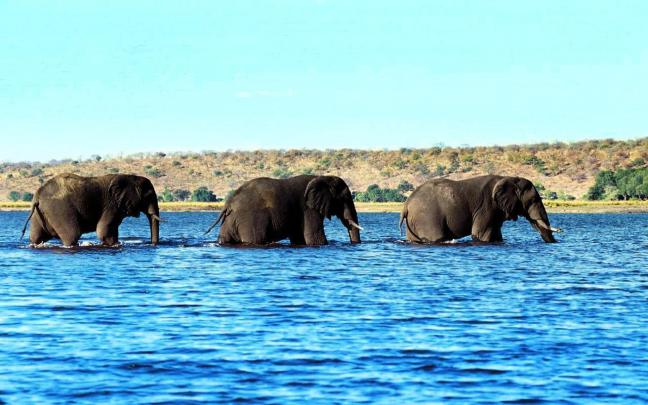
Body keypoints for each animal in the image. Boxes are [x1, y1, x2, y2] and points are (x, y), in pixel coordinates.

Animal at [21, 173, 161, 246]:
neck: (131, 177)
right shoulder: (112, 206)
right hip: (59, 210)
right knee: (72, 235)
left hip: (40, 213)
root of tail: (38, 194)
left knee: (36, 237)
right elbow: (103, 231)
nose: (153, 244)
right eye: (148, 196)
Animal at [206, 175, 362, 245]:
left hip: (230, 220)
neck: (323, 177)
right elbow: (315, 238)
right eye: (345, 198)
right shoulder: (308, 209)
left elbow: (300, 239)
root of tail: (229, 203)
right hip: (250, 221)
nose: (355, 244)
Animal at [400, 175, 560, 243]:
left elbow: (495, 235)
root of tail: (406, 205)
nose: (555, 242)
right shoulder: (487, 207)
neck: (510, 178)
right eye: (533, 200)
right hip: (427, 217)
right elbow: (480, 234)